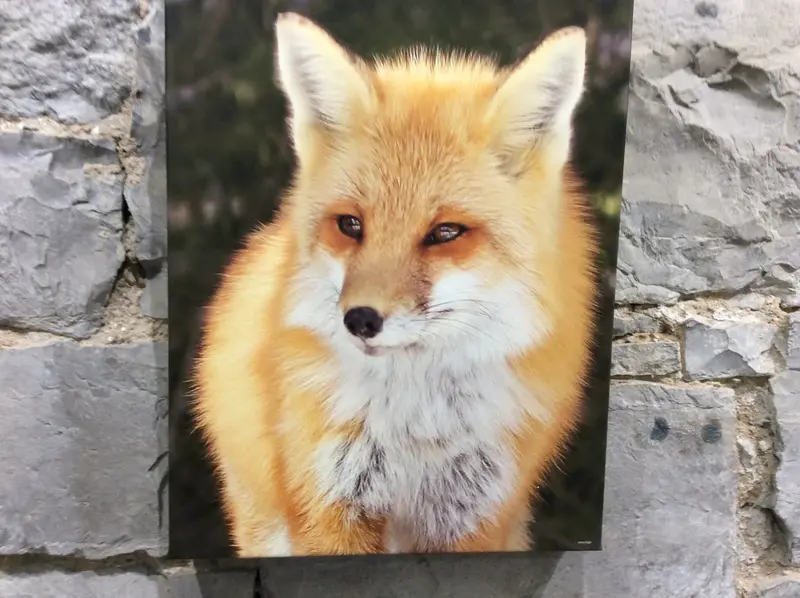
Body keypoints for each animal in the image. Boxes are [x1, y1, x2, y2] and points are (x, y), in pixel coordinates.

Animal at [192, 11, 598, 557]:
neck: (415, 429)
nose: (360, 320)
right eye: (350, 225)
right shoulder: (330, 508)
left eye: (445, 233)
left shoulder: (472, 518)